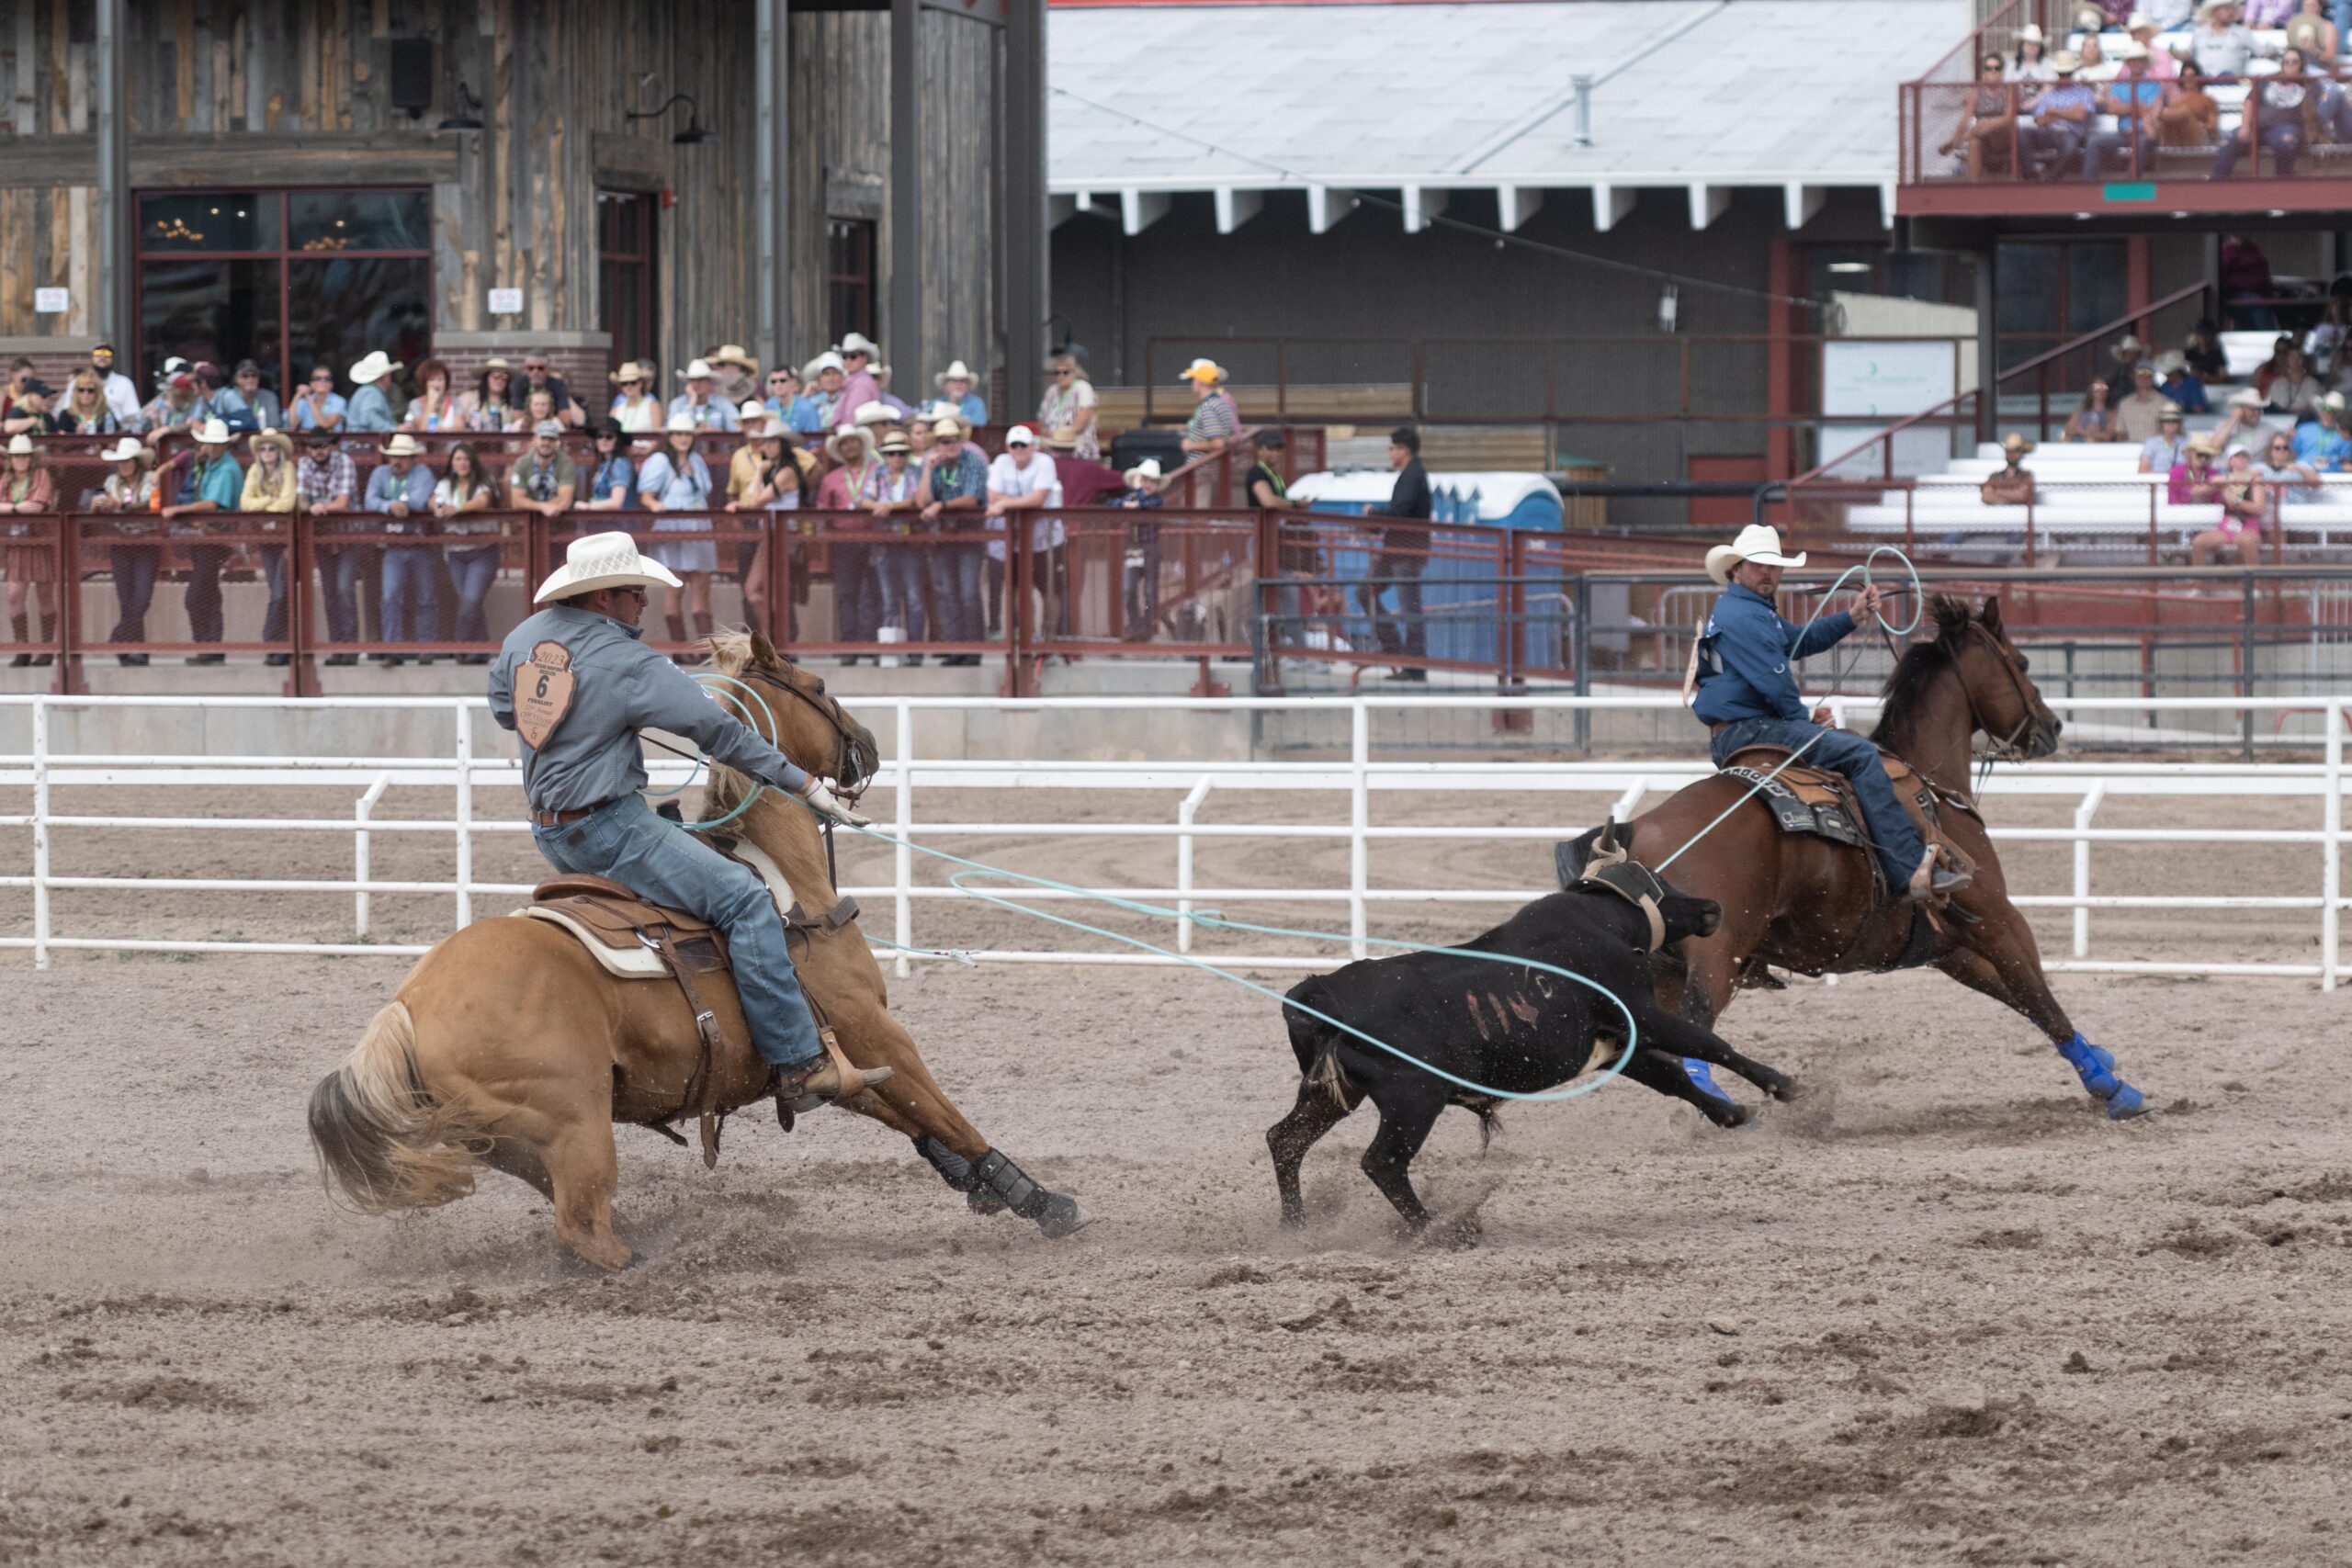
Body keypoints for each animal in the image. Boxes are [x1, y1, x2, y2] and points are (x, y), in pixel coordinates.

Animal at [305, 629, 1101, 1269]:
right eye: (818, 687)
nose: (868, 744)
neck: (786, 883)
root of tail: (406, 1007)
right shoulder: (875, 1031)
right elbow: (948, 1113)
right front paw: (1047, 1203)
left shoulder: (836, 1058)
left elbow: (915, 1120)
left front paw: (993, 1189)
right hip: (576, 1127)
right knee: (583, 1230)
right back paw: (655, 1262)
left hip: (522, 1143)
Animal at [1561, 594, 2154, 1123]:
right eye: (2024, 663)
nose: (2051, 727)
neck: (1929, 782)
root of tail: (1636, 831)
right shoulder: (1997, 916)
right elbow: (2043, 999)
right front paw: (2114, 1089)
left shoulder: (1950, 947)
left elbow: (2020, 998)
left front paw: (2102, 1061)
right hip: (1717, 956)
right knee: (1699, 1026)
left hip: (1660, 971)